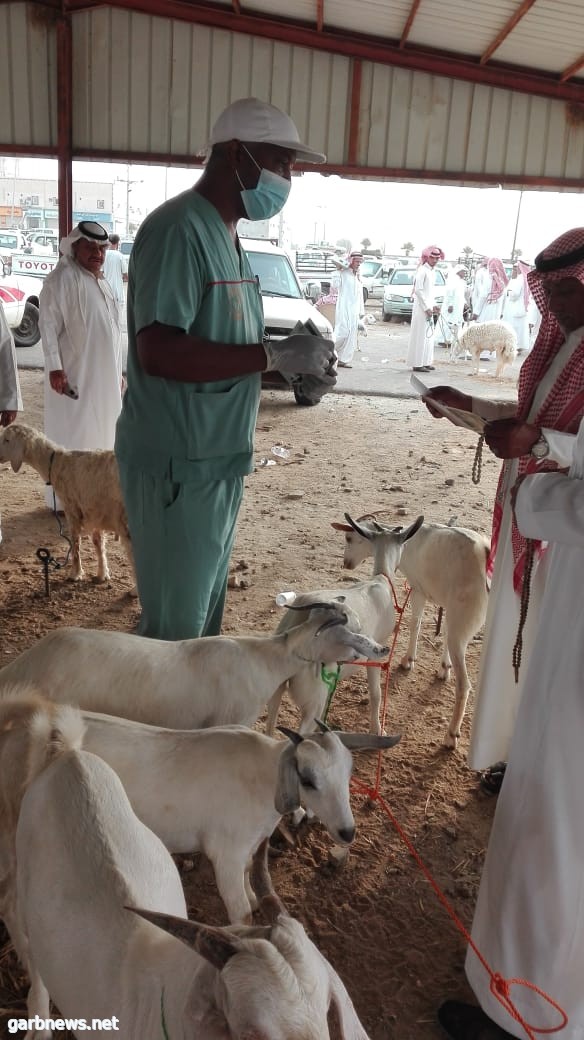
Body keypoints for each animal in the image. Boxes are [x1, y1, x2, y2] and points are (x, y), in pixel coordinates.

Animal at [0, 420, 133, 586]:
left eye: (7, 440)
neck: (56, 462)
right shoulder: (93, 510)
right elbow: (98, 544)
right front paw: (102, 574)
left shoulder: (72, 508)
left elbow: (75, 542)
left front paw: (75, 574)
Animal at [13, 703, 369, 1035]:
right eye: (308, 780)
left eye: (348, 773)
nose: (346, 832)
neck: (262, 778)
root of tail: (63, 743)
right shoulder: (227, 853)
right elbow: (240, 911)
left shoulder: (248, 848)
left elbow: (249, 879)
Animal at [264, 515, 421, 736]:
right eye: (405, 544)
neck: (379, 580)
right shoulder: (378, 652)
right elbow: (376, 694)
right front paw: (377, 729)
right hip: (312, 702)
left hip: (275, 690)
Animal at [330, 513, 488, 748]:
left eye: (349, 538)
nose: (346, 563)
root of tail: (484, 554)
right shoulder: (446, 603)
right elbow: (444, 631)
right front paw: (444, 667)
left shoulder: (418, 588)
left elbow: (416, 622)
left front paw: (408, 660)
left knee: (464, 684)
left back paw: (451, 735)